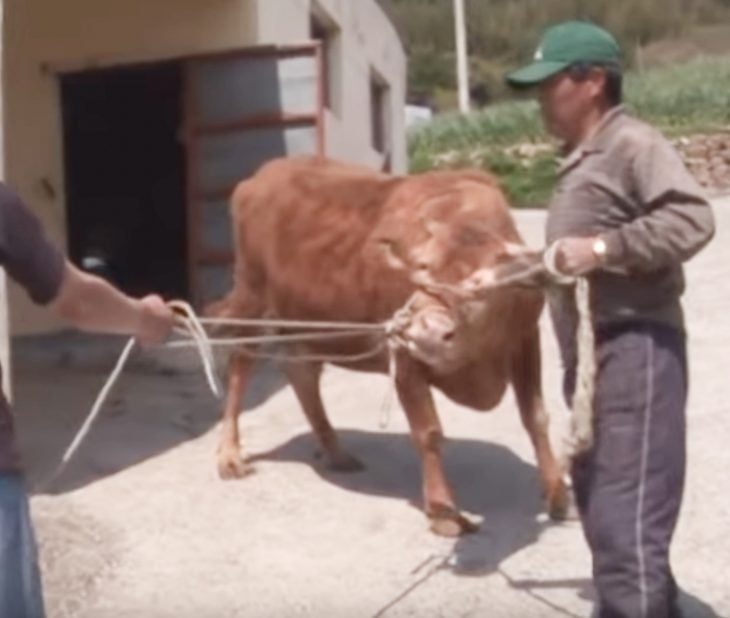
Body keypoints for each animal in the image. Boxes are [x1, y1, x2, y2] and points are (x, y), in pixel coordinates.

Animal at [208, 155, 564, 536]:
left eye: (480, 285)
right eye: (422, 268)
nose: (427, 331)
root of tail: (261, 176)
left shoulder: (525, 339)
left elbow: (535, 416)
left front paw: (558, 493)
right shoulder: (404, 355)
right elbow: (428, 433)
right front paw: (442, 511)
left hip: (306, 320)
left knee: (301, 373)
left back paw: (336, 452)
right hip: (253, 300)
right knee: (240, 366)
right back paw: (229, 454)